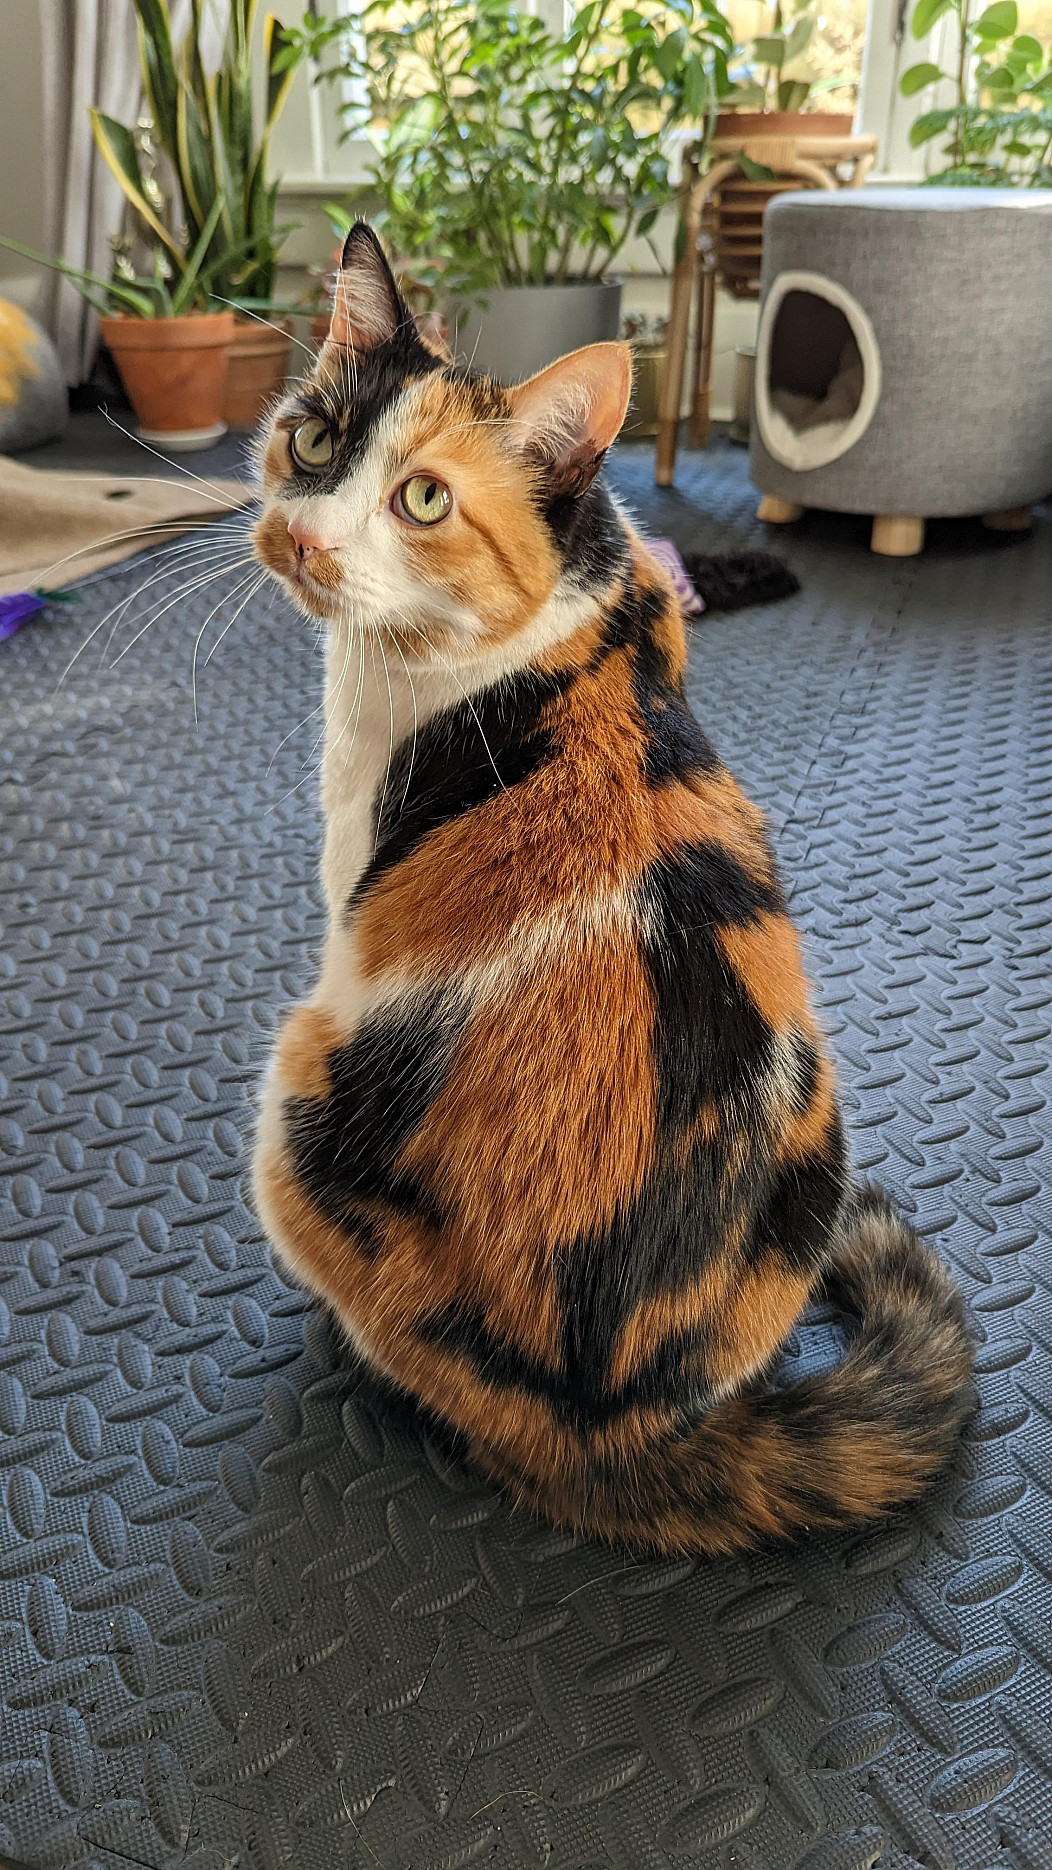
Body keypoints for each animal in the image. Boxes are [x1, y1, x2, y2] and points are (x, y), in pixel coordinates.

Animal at [251, 223, 973, 1556]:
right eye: (315, 440)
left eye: (422, 497)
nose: (304, 540)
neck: (561, 612)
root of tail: (618, 1430)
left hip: (299, 1088)